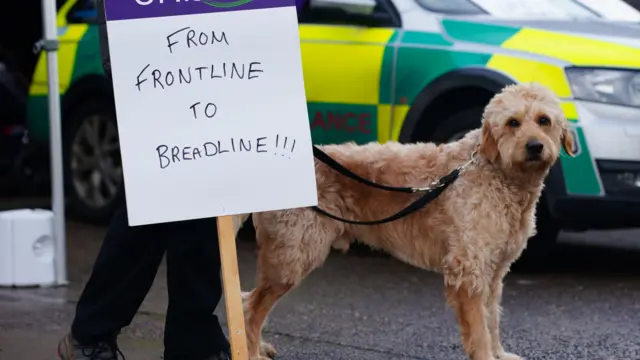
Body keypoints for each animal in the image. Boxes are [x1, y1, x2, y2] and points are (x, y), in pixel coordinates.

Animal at [234, 82, 576, 360]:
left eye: (544, 120)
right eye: (512, 122)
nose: (534, 146)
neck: (495, 171)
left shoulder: (493, 272)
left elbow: (492, 318)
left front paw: (499, 354)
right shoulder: (469, 270)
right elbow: (479, 328)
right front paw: (486, 355)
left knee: (249, 301)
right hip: (293, 255)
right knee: (250, 309)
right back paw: (251, 352)